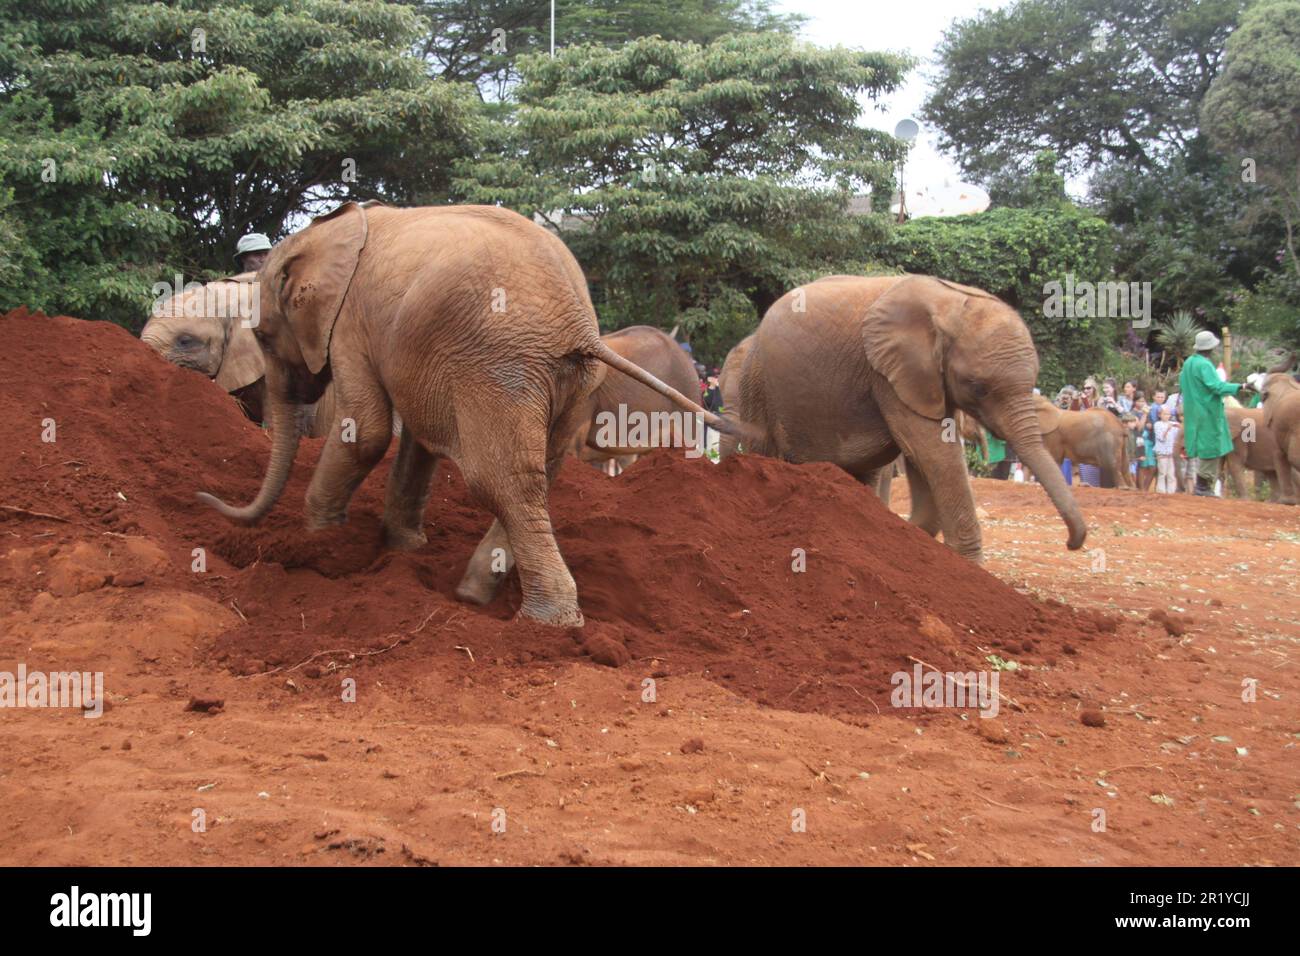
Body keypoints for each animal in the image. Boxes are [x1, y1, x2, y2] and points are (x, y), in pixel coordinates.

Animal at [733, 274, 1086, 561]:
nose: (1071, 544)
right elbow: (932, 451)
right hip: (756, 381)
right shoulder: (887, 375)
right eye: (978, 388)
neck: (949, 304)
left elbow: (927, 453)